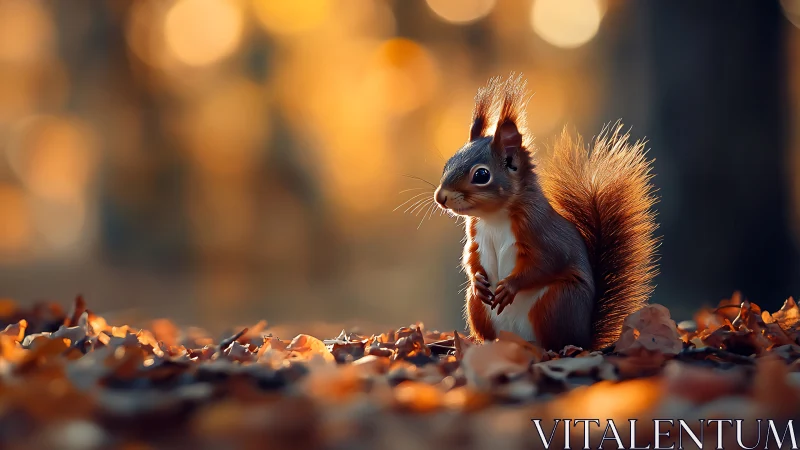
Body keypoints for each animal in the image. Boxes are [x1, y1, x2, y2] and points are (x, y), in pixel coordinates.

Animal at [433, 75, 658, 350]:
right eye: (448, 163)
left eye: (482, 175)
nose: (441, 197)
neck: (493, 218)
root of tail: (586, 337)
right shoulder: (476, 235)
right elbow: (471, 257)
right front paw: (478, 280)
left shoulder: (540, 230)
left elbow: (548, 261)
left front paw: (510, 287)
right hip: (478, 308)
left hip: (557, 301)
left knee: (555, 341)